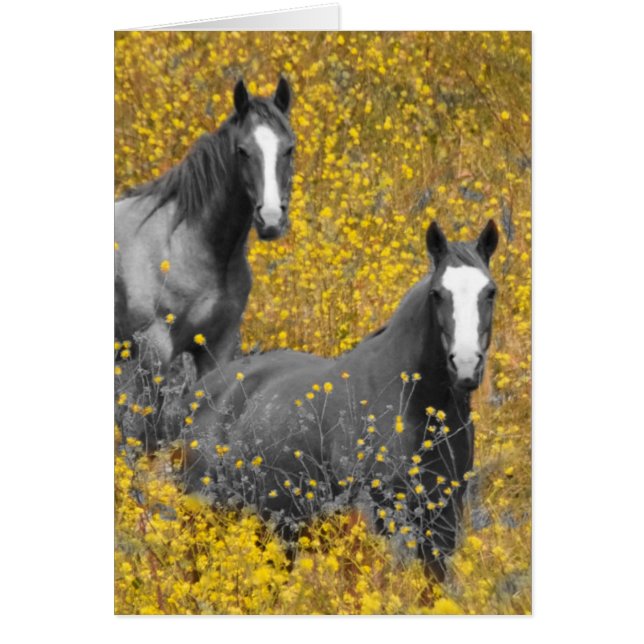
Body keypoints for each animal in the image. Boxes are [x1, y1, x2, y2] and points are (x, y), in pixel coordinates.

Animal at [115, 77, 295, 448]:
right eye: (242, 151)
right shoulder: (154, 352)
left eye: (289, 149)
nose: (271, 220)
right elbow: (150, 432)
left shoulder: (216, 348)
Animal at [179, 220, 499, 580]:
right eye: (437, 294)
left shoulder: (442, 523)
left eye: (490, 291)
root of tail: (201, 391)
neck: (414, 404)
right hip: (201, 519)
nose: (466, 365)